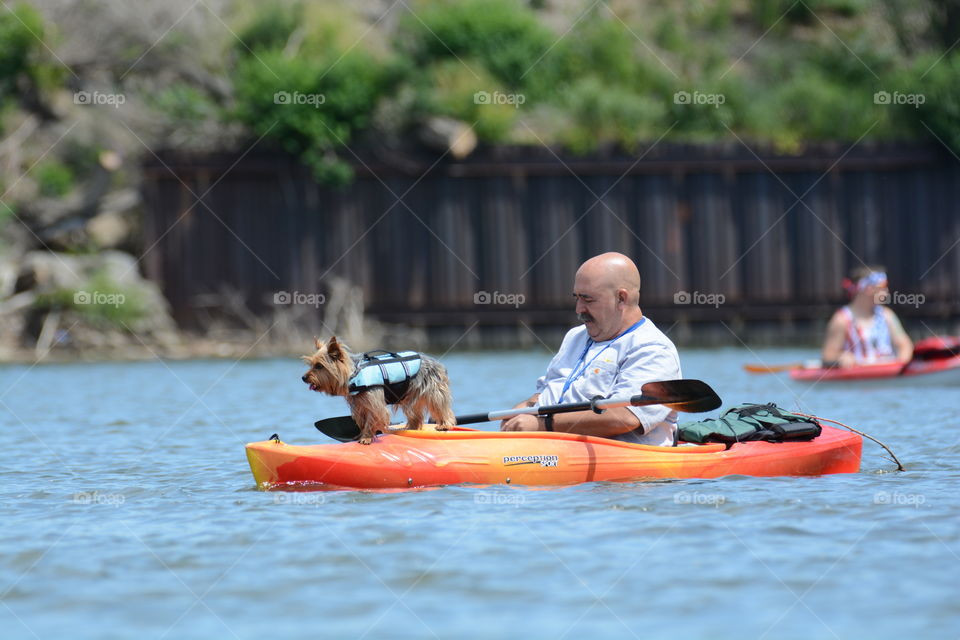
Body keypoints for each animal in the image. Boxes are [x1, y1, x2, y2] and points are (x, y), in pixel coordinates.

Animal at [304, 336, 458, 444]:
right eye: (311, 365)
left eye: (319, 366)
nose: (303, 377)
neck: (354, 373)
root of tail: (436, 362)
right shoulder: (359, 404)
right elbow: (362, 420)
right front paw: (361, 435)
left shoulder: (374, 402)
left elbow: (372, 418)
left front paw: (366, 438)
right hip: (410, 395)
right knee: (416, 416)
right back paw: (408, 428)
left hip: (434, 390)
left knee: (441, 407)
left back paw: (444, 425)